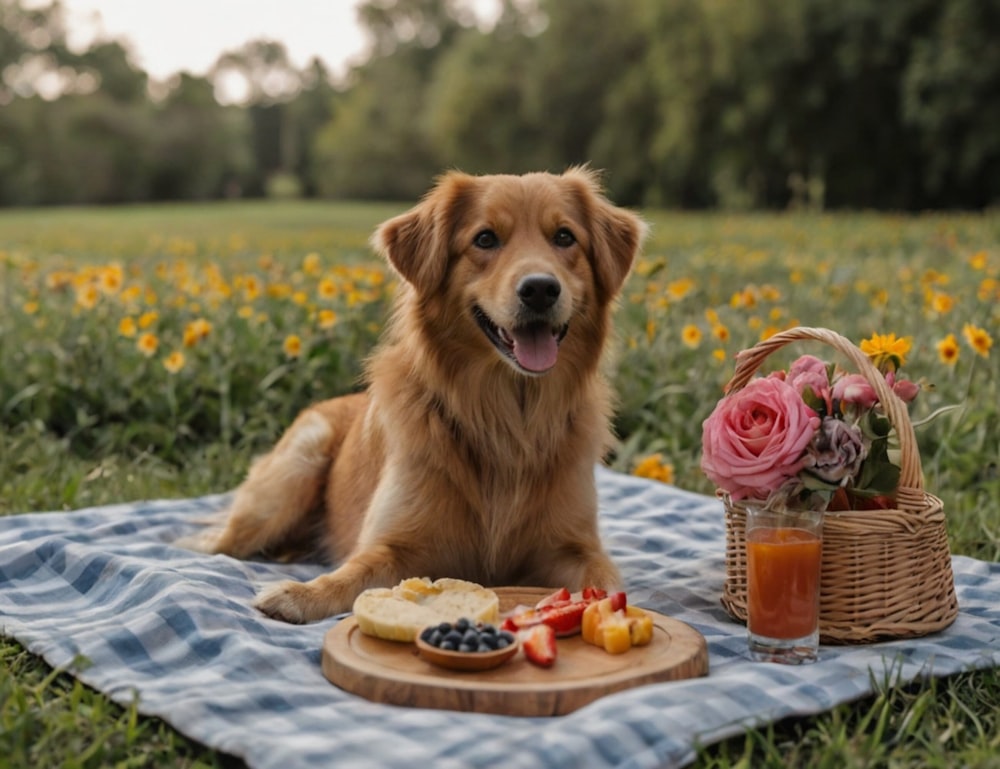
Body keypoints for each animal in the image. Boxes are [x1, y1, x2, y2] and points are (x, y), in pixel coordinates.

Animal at [193, 170, 648, 624]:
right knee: (218, 539)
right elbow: (350, 574)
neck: (507, 419)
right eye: (485, 239)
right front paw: (298, 593)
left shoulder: (575, 548)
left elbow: (605, 582)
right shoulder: (394, 545)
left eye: (564, 237)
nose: (540, 289)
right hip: (293, 472)